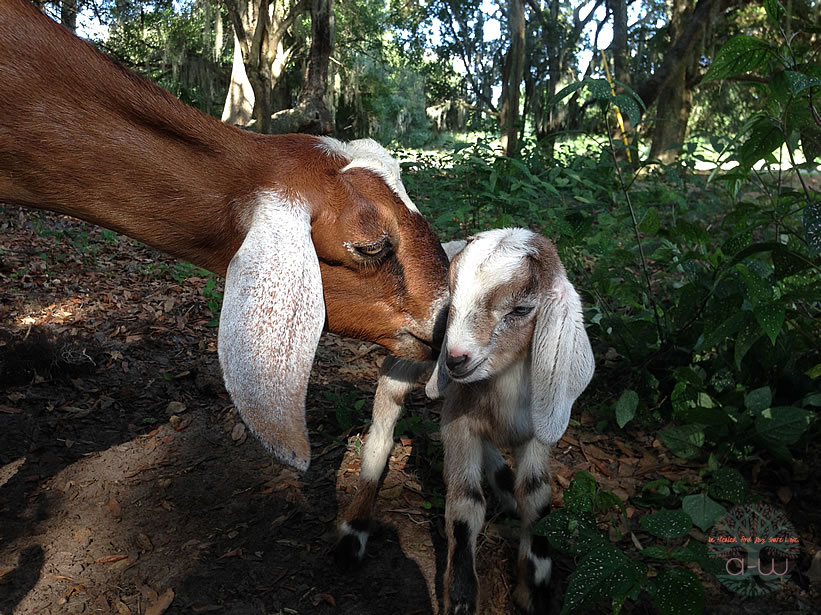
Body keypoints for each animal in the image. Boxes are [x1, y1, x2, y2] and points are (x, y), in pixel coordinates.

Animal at [426, 230, 592, 615]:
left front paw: (536, 589)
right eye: (451, 296)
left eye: (521, 309)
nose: (455, 360)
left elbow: (537, 496)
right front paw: (461, 598)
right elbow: (465, 505)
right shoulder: (456, 423)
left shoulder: (536, 433)